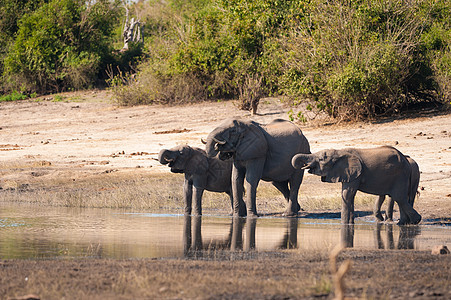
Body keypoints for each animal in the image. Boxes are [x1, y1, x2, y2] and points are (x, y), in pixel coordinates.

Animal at [294, 145, 424, 225]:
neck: (340, 151)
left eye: (321, 159)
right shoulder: (348, 173)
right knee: (400, 198)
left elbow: (347, 194)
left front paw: (344, 224)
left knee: (399, 197)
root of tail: (406, 160)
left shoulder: (355, 173)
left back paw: (414, 221)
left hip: (400, 175)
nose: (304, 166)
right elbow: (349, 195)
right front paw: (350, 224)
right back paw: (403, 223)